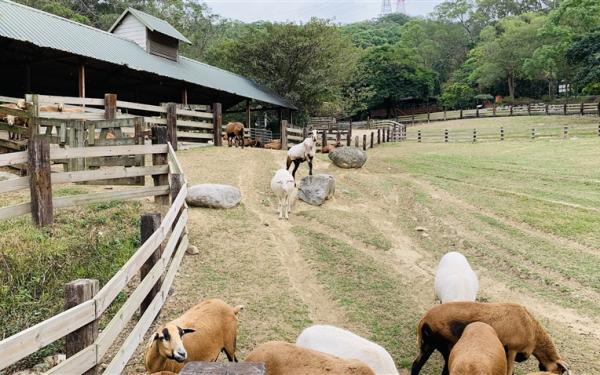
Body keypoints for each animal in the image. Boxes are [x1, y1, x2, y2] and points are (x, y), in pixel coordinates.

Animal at [410, 302, 568, 375]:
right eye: (559, 371)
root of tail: (424, 320)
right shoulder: (512, 350)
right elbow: (509, 372)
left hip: (428, 345)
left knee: (416, 365)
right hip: (447, 347)